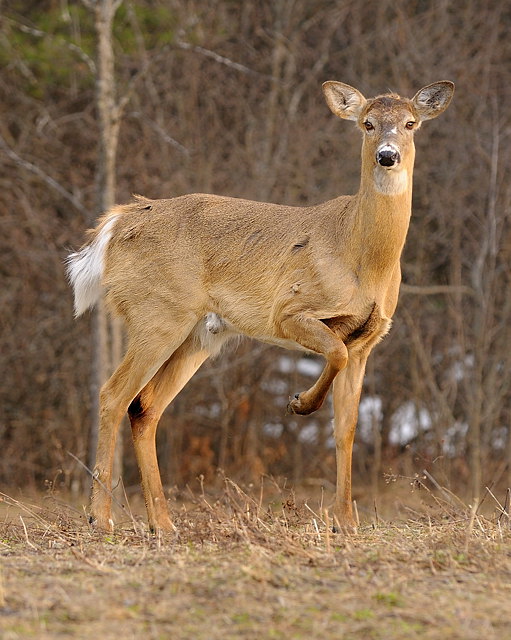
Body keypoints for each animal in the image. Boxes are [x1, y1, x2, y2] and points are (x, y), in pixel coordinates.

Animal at [67, 79, 454, 534]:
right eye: (367, 123)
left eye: (410, 123)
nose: (387, 155)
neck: (364, 260)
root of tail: (118, 223)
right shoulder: (289, 311)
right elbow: (333, 353)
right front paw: (300, 403)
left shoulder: (367, 340)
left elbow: (347, 428)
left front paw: (345, 522)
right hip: (157, 313)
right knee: (113, 394)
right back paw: (101, 517)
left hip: (199, 334)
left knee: (145, 407)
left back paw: (162, 523)